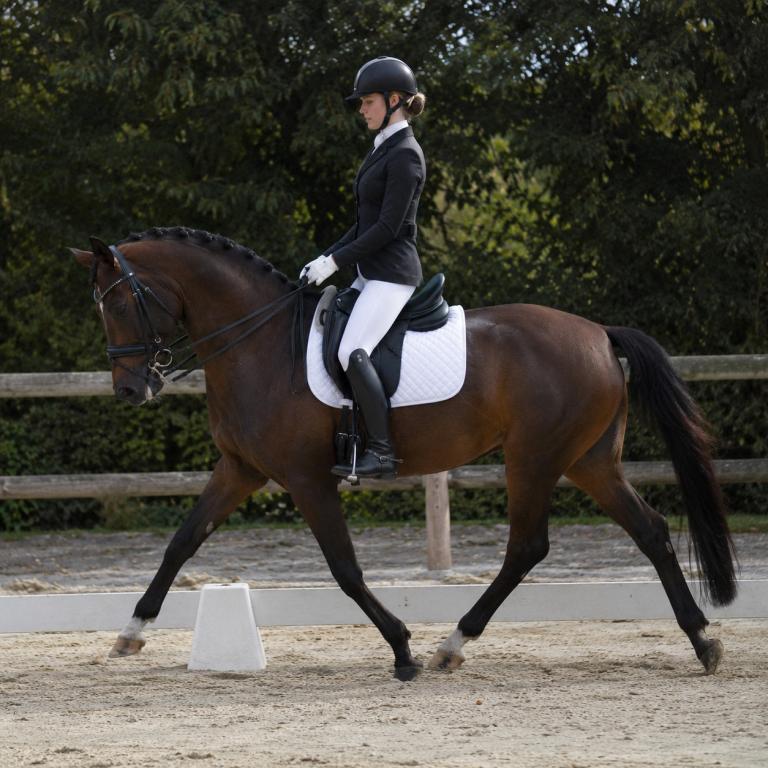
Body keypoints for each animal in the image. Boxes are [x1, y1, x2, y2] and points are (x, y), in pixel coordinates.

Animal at [71, 226, 736, 680]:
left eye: (122, 303)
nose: (129, 390)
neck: (258, 343)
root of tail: (599, 333)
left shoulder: (307, 479)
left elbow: (345, 568)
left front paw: (402, 648)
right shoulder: (242, 469)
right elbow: (182, 541)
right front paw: (130, 631)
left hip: (535, 458)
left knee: (528, 547)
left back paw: (452, 644)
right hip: (588, 460)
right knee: (649, 530)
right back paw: (702, 641)